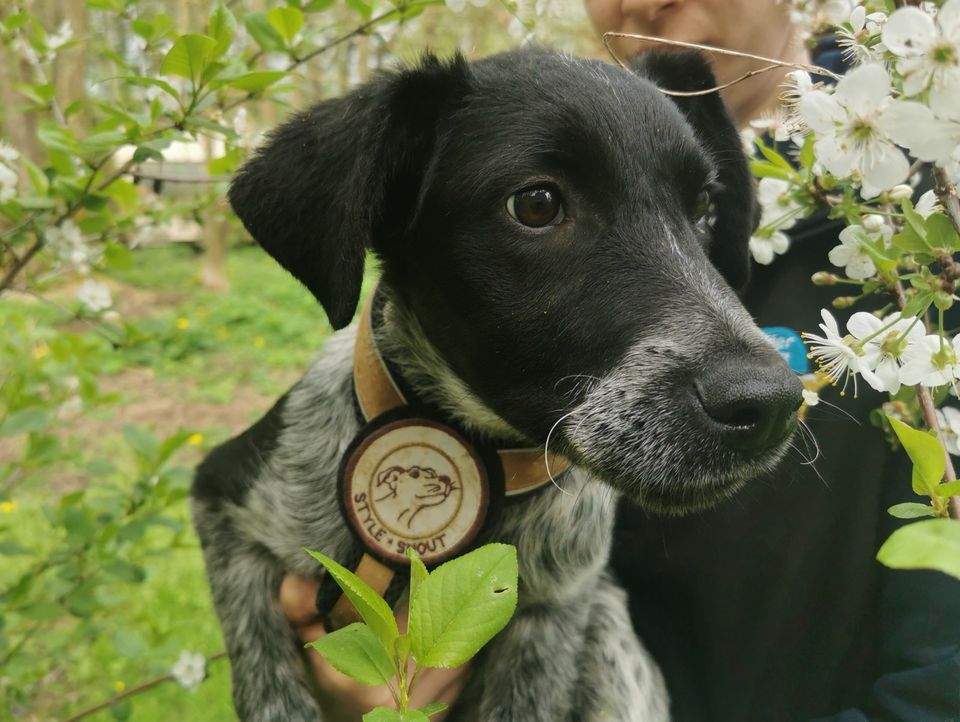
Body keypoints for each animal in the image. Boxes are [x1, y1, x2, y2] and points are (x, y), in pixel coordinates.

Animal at [189, 47, 804, 716]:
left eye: (704, 209)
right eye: (536, 204)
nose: (771, 405)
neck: (484, 455)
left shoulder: (558, 608)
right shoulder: (221, 498)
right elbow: (269, 682)